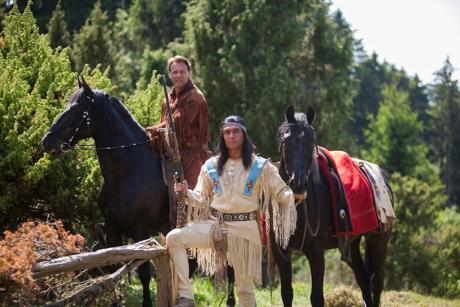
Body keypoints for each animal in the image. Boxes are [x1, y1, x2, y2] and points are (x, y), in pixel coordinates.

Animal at [274, 104, 392, 306]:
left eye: (311, 141)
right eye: (285, 140)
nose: (298, 184)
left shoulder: (316, 252)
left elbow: (317, 297)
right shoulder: (282, 252)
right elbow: (286, 293)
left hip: (378, 242)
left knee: (376, 284)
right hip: (352, 244)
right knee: (363, 280)